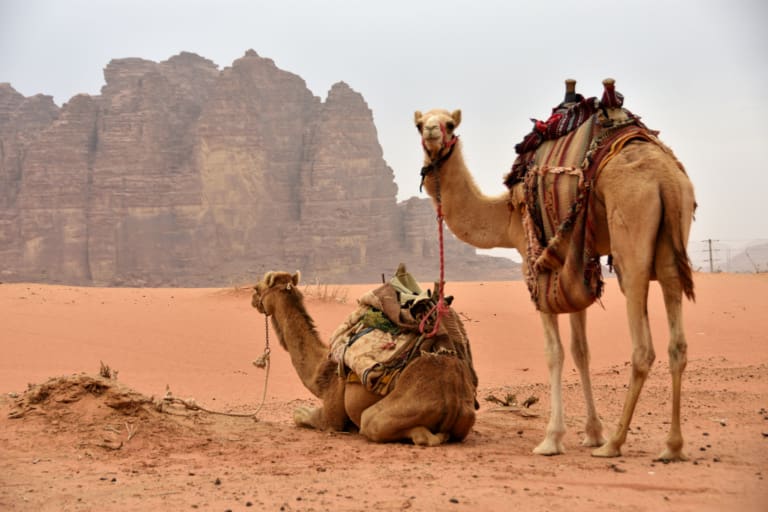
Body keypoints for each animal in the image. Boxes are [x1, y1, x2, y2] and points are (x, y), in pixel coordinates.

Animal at [251, 269, 477, 446]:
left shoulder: (331, 416)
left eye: (257, 288)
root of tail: (453, 398)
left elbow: (299, 415)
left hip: (381, 416)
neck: (321, 373)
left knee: (416, 435)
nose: (253, 299)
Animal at [414, 81, 696, 460]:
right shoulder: (574, 265)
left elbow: (554, 352)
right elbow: (581, 350)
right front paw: (591, 432)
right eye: (420, 124)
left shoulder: (534, 263)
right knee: (676, 340)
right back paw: (672, 446)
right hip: (672, 239)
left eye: (449, 124)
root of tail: (665, 178)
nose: (432, 132)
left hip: (631, 238)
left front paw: (552, 439)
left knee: (642, 347)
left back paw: (615, 444)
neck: (507, 213)